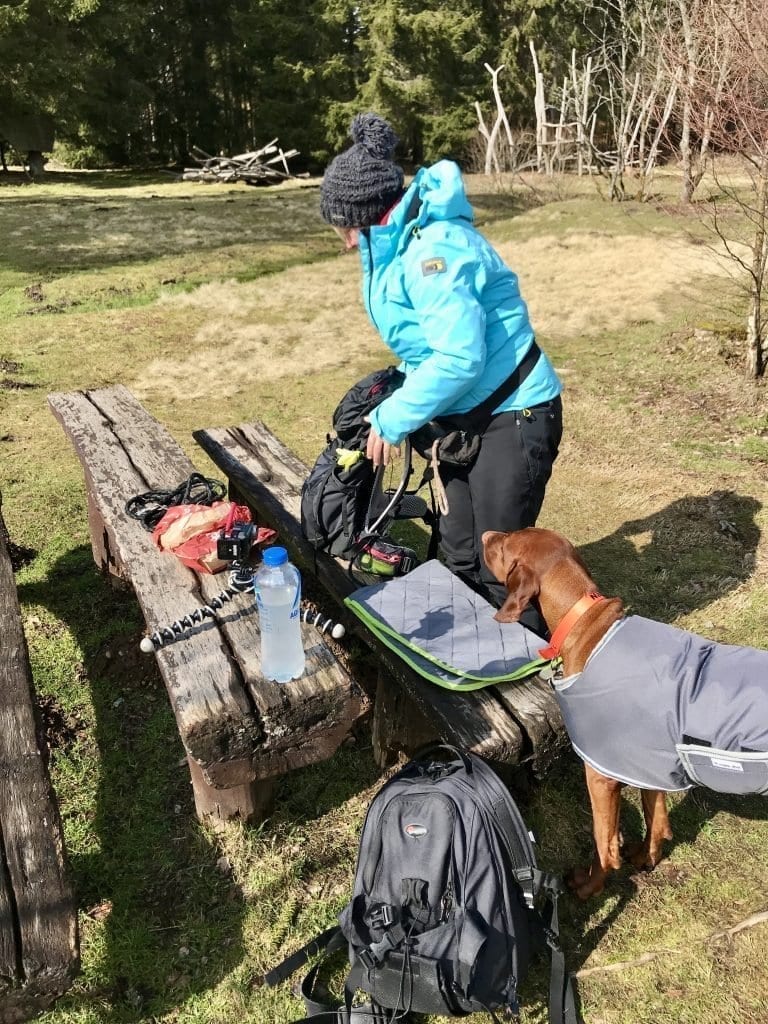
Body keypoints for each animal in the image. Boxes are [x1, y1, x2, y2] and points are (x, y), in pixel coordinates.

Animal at [483, 528, 768, 897]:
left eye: (504, 544)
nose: (486, 534)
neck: (586, 625)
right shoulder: (648, 766)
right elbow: (657, 821)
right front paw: (646, 858)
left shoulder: (601, 774)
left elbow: (605, 844)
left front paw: (589, 886)